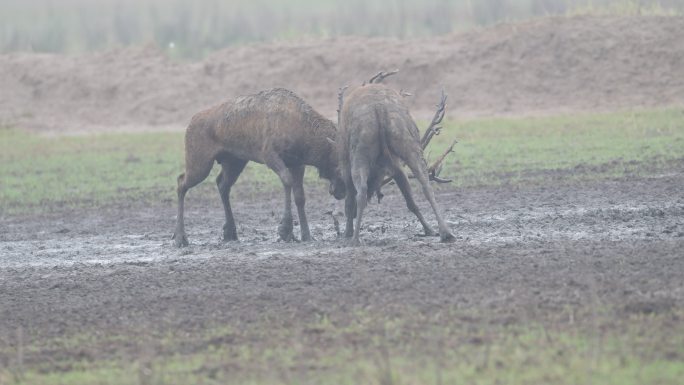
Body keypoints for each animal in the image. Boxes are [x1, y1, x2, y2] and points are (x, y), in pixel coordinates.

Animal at [174, 88, 348, 246]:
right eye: (339, 162)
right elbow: (287, 180)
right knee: (181, 182)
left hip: (235, 161)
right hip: (200, 163)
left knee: (222, 184)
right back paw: (180, 237)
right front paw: (285, 230)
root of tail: (190, 123)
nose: (341, 191)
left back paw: (230, 232)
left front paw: (307, 235)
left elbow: (300, 196)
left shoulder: (297, 163)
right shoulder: (269, 155)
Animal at [336, 73, 454, 244]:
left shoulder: (344, 161)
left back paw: (355, 239)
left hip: (359, 149)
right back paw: (445, 232)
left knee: (361, 191)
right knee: (426, 184)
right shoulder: (395, 165)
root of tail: (379, 108)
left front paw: (347, 232)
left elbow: (350, 197)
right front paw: (429, 230)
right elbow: (410, 201)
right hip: (408, 140)